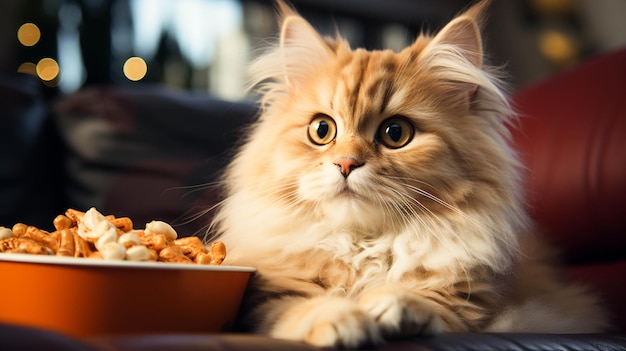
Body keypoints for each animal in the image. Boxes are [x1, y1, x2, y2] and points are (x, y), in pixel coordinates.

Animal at [210, 0, 604, 346]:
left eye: (395, 133)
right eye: (322, 130)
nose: (346, 164)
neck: (364, 247)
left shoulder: (469, 307)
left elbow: (427, 303)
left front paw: (390, 303)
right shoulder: (272, 297)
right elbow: (307, 307)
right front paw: (345, 321)